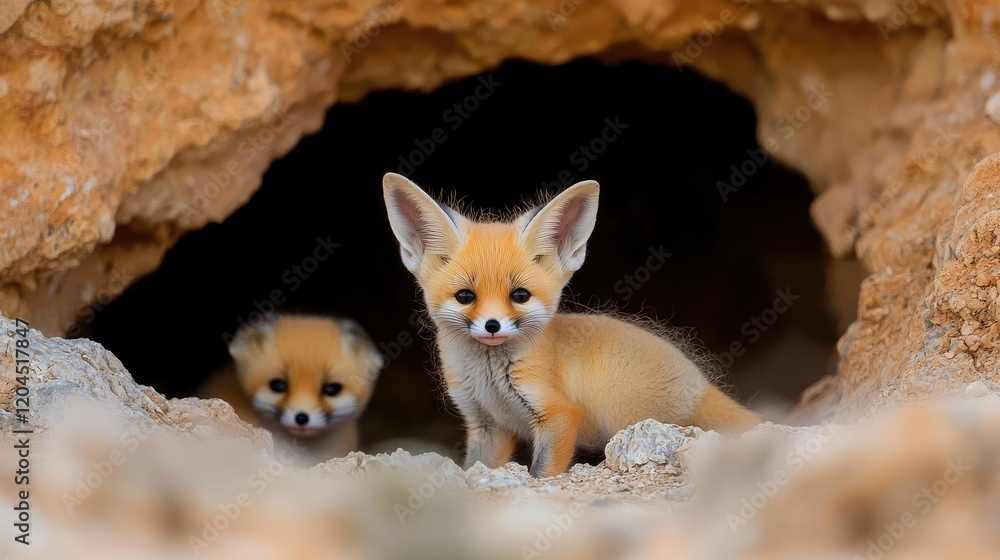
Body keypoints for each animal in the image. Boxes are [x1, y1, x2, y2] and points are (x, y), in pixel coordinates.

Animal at [382, 173, 760, 477]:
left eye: (519, 295)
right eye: (465, 296)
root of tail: (699, 381)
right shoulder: (487, 425)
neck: (490, 382)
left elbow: (541, 473)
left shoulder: (558, 414)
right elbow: (475, 467)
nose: (492, 325)